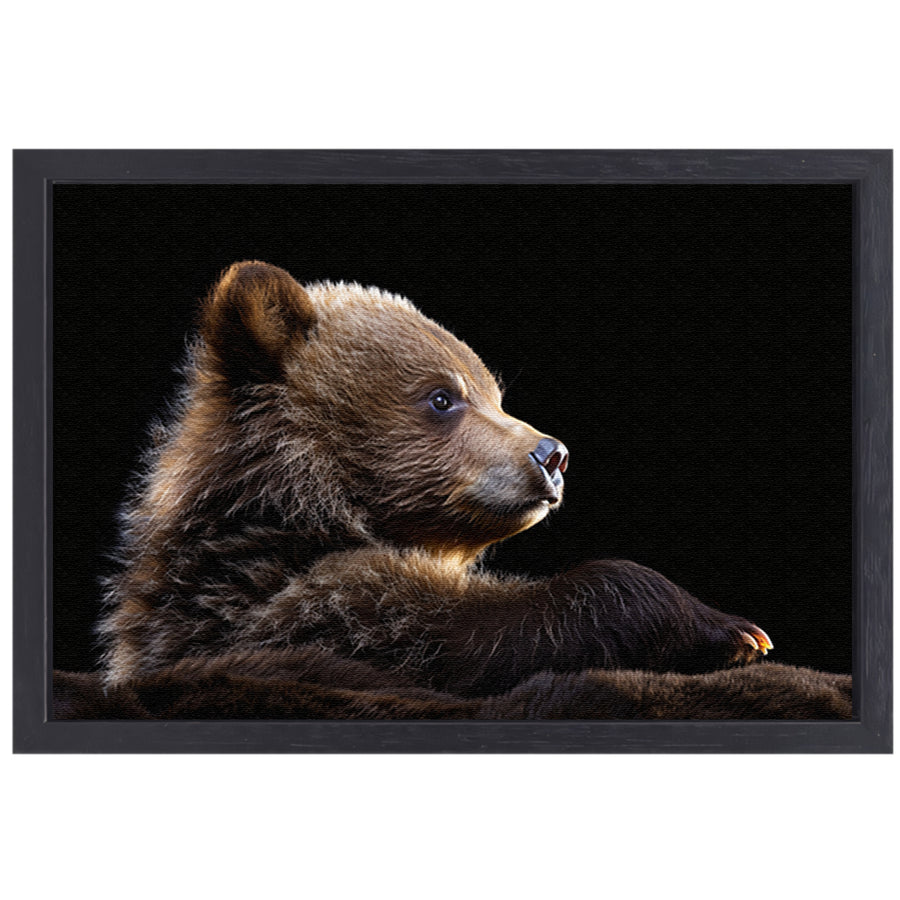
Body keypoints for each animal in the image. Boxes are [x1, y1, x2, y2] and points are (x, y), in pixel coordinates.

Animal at [99, 260, 772, 701]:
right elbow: (455, 633)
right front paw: (733, 630)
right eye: (442, 397)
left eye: (495, 393)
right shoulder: (288, 611)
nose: (551, 454)